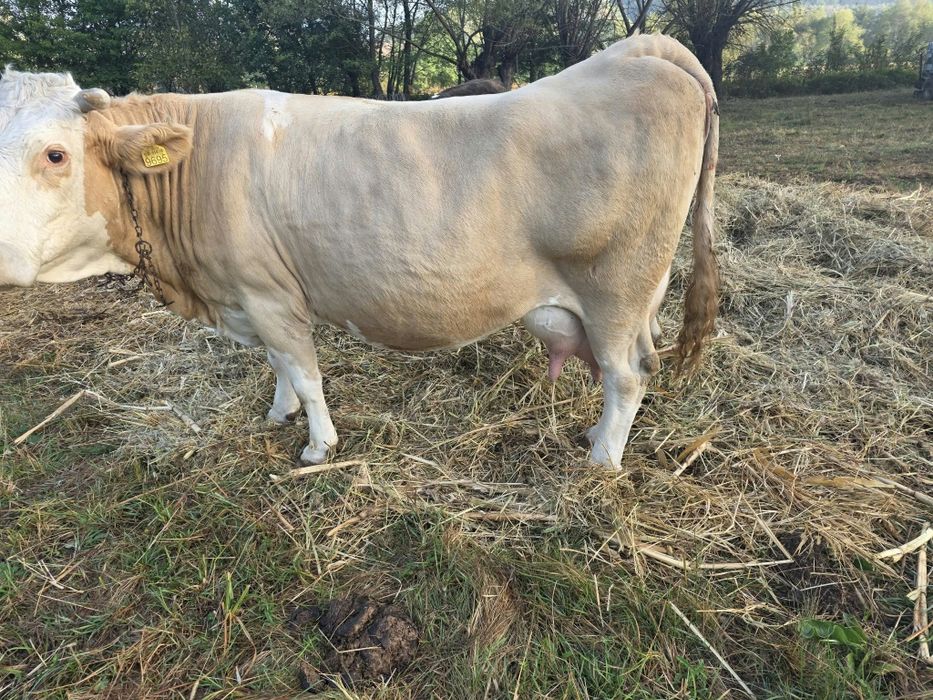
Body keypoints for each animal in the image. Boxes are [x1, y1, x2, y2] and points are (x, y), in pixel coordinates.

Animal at [0, 34, 719, 470]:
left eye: (56, 154)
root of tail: (636, 52)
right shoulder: (252, 297)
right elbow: (280, 367)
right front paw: (278, 413)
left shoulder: (268, 293)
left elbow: (306, 373)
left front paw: (317, 445)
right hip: (630, 297)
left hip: (616, 287)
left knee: (627, 375)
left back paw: (601, 458)